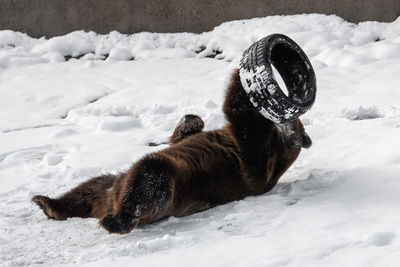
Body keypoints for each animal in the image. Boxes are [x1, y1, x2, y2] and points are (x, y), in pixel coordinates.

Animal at [32, 69, 312, 234]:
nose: (291, 120)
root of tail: (110, 203)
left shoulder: (252, 158)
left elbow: (242, 116)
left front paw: (242, 78)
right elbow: (185, 134)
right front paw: (191, 121)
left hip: (173, 184)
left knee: (148, 180)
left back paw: (116, 220)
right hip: (112, 186)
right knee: (89, 188)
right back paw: (47, 203)